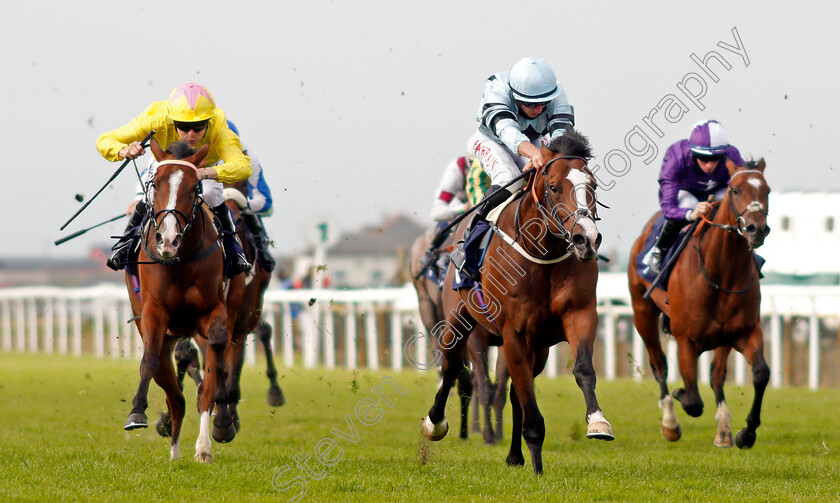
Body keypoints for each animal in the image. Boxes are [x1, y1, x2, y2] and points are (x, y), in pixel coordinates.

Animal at [124, 139, 246, 464]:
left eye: (194, 187)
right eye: (155, 184)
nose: (168, 240)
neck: (178, 260)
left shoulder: (213, 312)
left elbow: (210, 378)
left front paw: (204, 447)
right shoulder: (154, 314)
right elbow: (150, 360)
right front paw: (136, 412)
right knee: (174, 396)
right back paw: (174, 451)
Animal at [408, 228, 508, 444]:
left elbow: (500, 389)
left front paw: (498, 434)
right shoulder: (474, 338)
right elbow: (480, 385)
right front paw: (487, 434)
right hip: (428, 310)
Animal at [424, 131, 612, 476]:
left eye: (592, 185)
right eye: (554, 187)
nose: (586, 239)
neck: (543, 255)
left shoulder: (578, 315)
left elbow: (582, 370)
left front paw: (598, 422)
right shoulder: (514, 334)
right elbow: (521, 398)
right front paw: (537, 466)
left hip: (539, 347)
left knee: (513, 393)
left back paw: (514, 455)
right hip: (459, 320)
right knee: (453, 367)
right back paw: (435, 423)